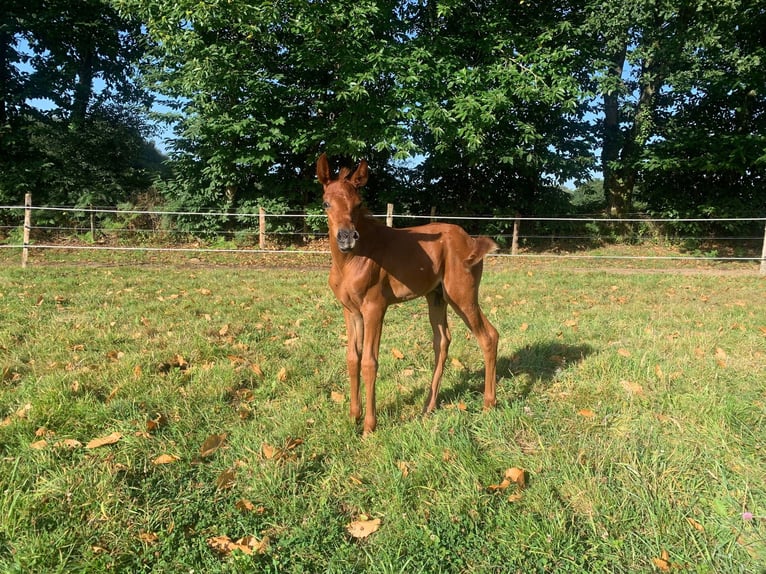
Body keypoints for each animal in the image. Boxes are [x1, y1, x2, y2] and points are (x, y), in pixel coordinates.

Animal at [316, 155, 500, 434]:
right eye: (326, 203)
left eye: (358, 204)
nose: (347, 237)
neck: (350, 261)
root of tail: (471, 241)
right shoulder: (350, 310)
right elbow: (352, 359)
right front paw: (353, 417)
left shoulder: (375, 307)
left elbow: (369, 362)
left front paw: (368, 427)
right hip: (436, 297)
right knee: (442, 341)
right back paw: (428, 407)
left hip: (462, 295)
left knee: (489, 336)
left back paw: (489, 404)